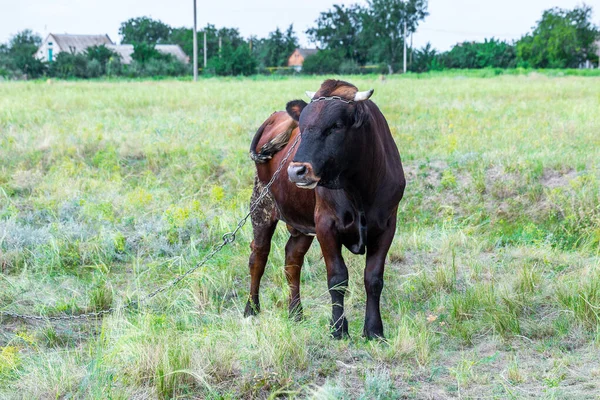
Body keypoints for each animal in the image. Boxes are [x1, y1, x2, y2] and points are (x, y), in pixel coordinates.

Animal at [245, 79, 408, 340]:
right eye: (302, 127)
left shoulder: (386, 226)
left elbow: (373, 278)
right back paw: (251, 309)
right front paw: (338, 328)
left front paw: (374, 330)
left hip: (301, 223)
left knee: (292, 259)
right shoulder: (325, 225)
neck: (359, 188)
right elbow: (337, 278)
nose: (296, 171)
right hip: (261, 206)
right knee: (258, 257)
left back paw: (296, 312)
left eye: (336, 126)